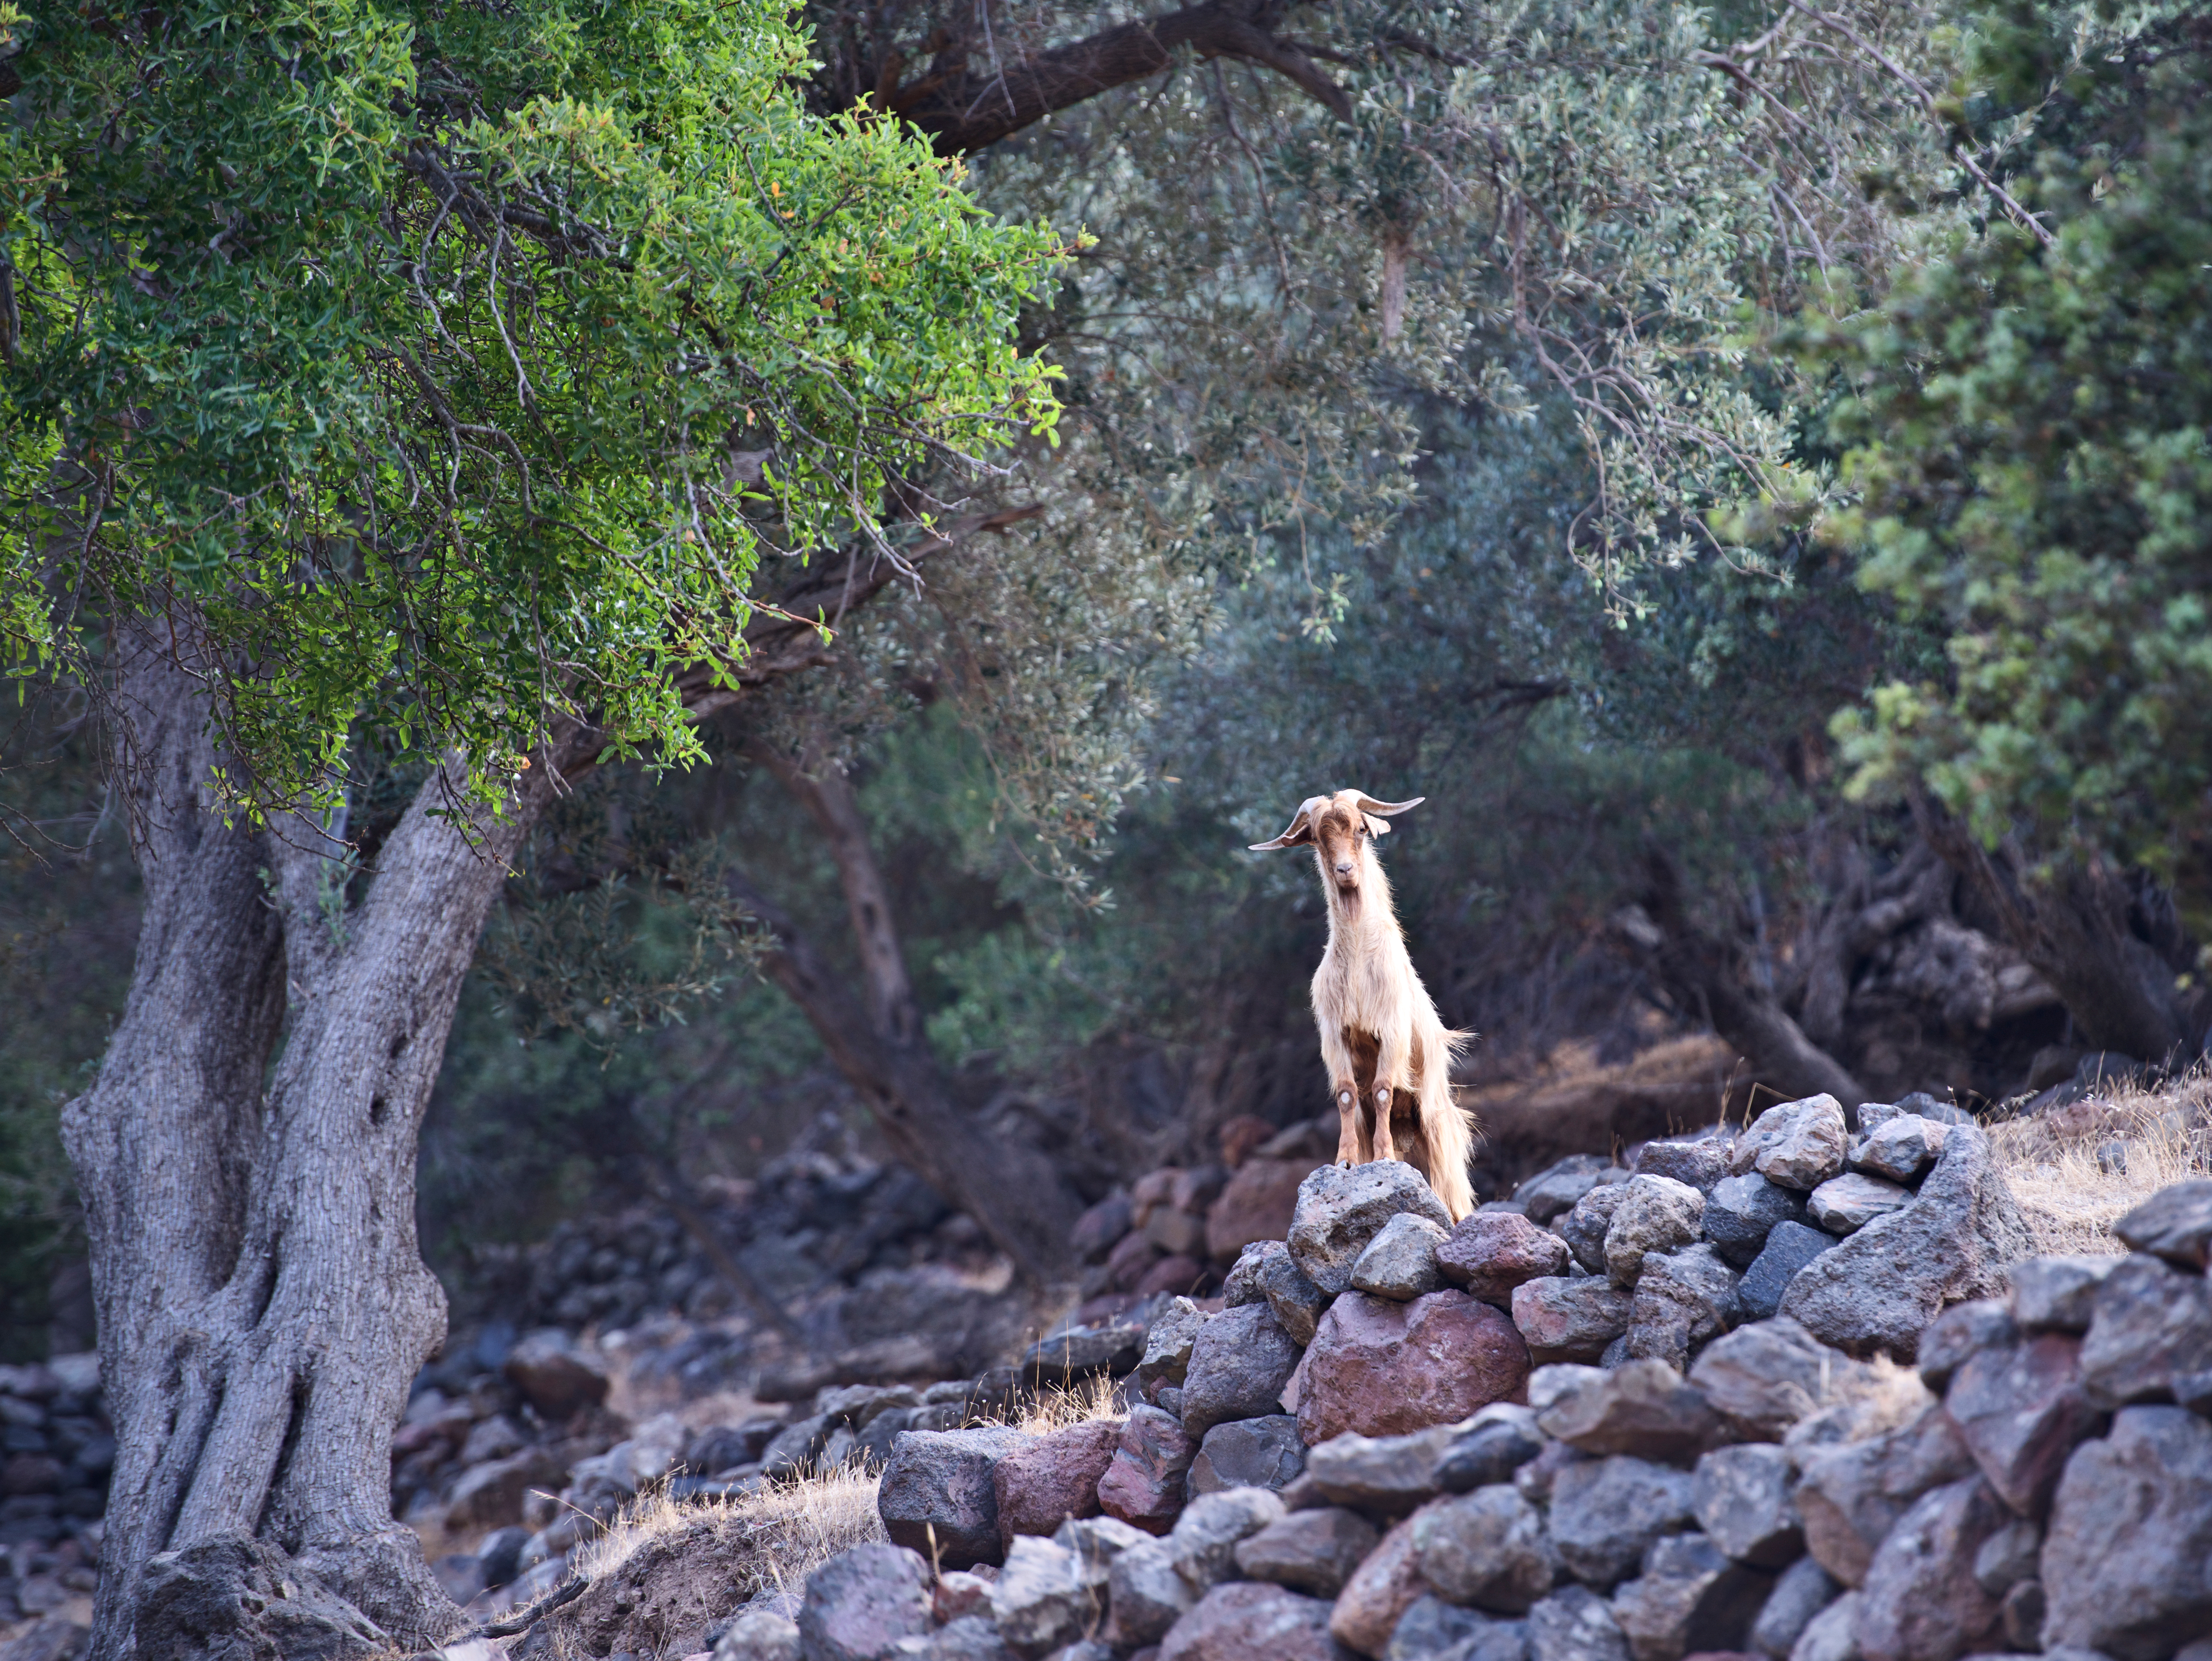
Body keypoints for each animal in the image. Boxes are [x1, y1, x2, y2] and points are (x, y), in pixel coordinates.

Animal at [1250, 790, 1475, 1220]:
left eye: (1359, 829)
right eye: (1319, 838)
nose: (1345, 870)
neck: (1357, 961)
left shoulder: (1391, 1030)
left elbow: (1384, 1089)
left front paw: (1385, 1157)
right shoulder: (1335, 1035)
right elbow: (1346, 1094)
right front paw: (1346, 1161)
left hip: (1437, 1127)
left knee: (1451, 1194)